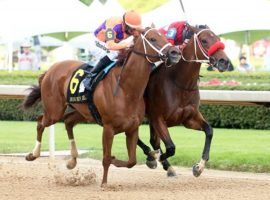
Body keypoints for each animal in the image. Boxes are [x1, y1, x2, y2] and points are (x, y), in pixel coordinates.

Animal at [22, 27, 180, 186]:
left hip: (83, 113)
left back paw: (72, 160)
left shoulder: (132, 129)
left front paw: (118, 160)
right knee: (40, 122)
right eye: (153, 39)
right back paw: (33, 154)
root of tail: (49, 70)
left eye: (164, 36)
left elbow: (131, 161)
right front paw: (104, 183)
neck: (126, 90)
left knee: (68, 122)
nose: (175, 52)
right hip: (54, 112)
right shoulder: (108, 128)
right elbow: (106, 158)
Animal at [137, 24, 230, 177]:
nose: (224, 61)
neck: (180, 83)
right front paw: (157, 158)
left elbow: (209, 131)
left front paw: (199, 167)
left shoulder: (189, 118)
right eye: (204, 40)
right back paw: (153, 157)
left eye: (218, 39)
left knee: (153, 141)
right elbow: (170, 147)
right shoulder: (158, 118)